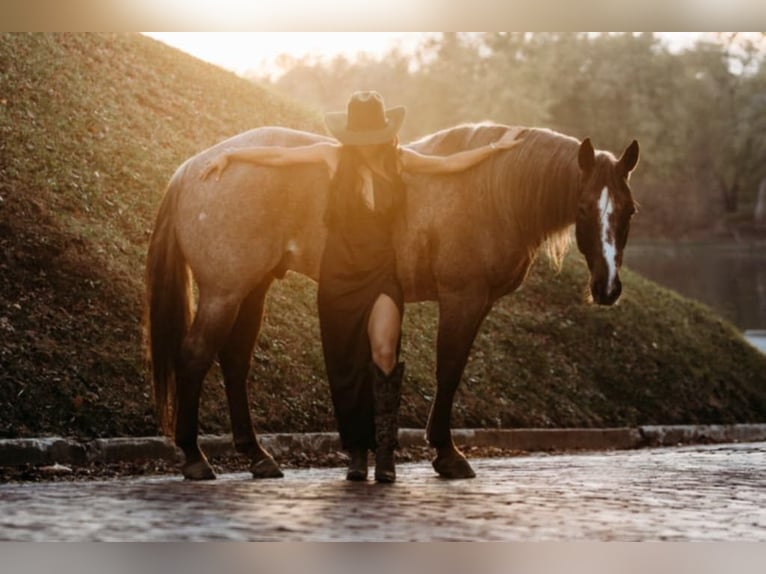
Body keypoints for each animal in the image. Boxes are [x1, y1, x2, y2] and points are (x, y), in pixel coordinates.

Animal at [146, 125, 640, 482]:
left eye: (629, 209)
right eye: (582, 207)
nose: (607, 288)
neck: (491, 192)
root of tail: (191, 169)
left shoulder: (474, 302)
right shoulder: (462, 297)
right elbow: (450, 369)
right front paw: (446, 453)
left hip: (251, 288)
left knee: (234, 362)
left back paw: (257, 457)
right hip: (224, 292)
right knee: (194, 357)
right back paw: (195, 458)